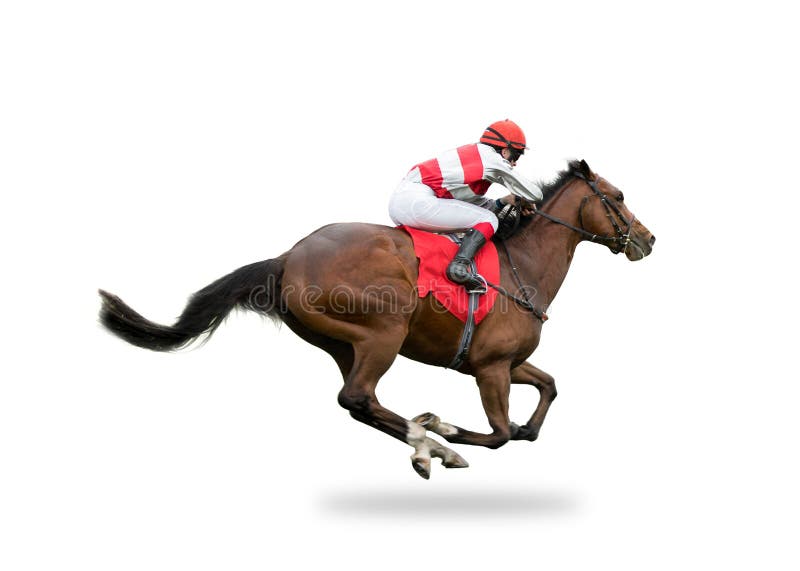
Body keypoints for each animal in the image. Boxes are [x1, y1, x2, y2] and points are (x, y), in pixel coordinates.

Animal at [100, 159, 652, 480]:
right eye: (619, 197)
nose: (648, 239)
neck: (525, 267)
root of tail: (287, 257)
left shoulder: (504, 361)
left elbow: (545, 396)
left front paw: (476, 431)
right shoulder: (491, 367)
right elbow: (498, 433)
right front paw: (447, 430)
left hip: (344, 343)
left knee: (360, 402)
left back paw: (423, 445)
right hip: (383, 332)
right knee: (358, 397)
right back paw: (431, 443)